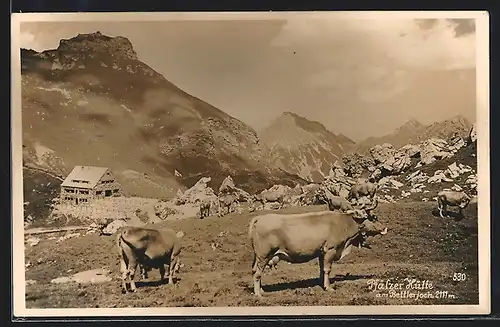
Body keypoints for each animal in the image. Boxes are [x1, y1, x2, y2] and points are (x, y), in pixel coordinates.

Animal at [249, 208, 386, 300]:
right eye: (373, 218)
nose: (385, 228)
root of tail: (260, 218)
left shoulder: (321, 252)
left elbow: (321, 269)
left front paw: (321, 284)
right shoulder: (330, 249)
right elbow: (327, 269)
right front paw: (328, 287)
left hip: (259, 257)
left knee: (255, 271)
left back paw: (262, 290)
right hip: (264, 255)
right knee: (257, 274)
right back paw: (258, 294)